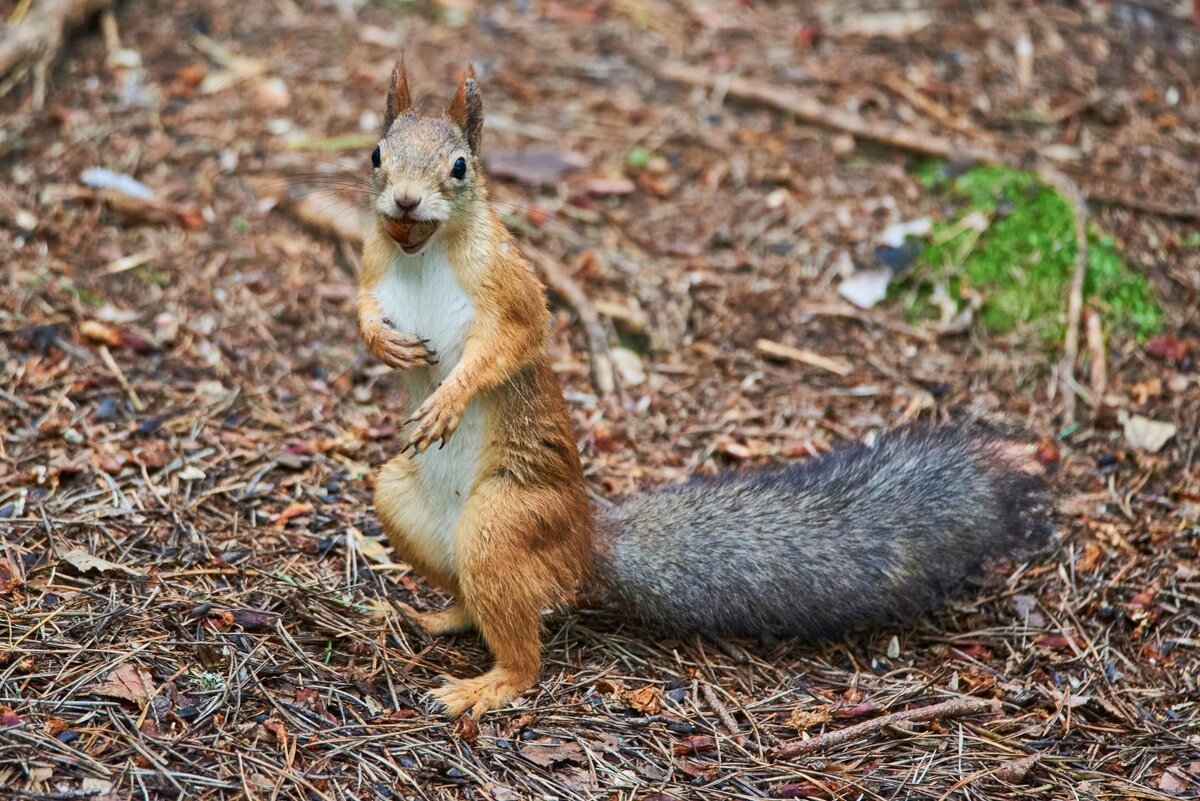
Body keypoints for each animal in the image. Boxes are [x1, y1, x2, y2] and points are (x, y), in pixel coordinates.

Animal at [355, 59, 1051, 714]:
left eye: (460, 166)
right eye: (377, 154)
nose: (406, 204)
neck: (423, 253)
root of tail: (584, 539)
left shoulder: (508, 283)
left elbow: (513, 341)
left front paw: (449, 398)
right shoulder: (372, 265)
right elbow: (360, 308)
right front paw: (383, 344)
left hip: (505, 524)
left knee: (524, 651)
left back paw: (485, 686)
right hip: (399, 498)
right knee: (473, 599)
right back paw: (438, 616)